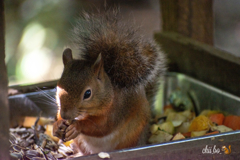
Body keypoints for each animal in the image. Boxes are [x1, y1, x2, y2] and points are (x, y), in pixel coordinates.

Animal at [52, 9, 166, 156]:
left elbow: (101, 127)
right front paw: (57, 124)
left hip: (132, 136)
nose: (66, 115)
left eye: (87, 93)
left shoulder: (116, 111)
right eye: (58, 88)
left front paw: (76, 126)